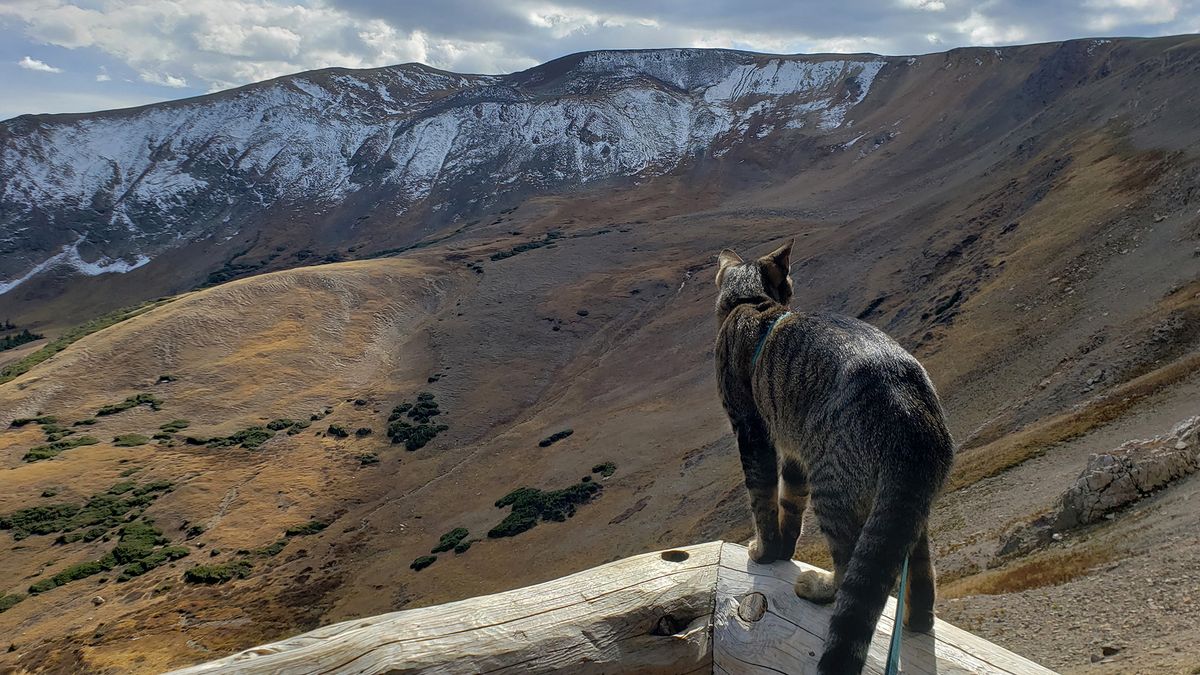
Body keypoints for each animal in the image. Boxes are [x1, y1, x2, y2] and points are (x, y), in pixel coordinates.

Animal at [710, 239, 955, 667]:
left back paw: (819, 587)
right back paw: (916, 620)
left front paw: (765, 551)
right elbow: (790, 503)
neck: (751, 300)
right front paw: (785, 549)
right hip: (905, 507)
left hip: (833, 486)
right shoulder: (793, 449)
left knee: (848, 570)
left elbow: (761, 499)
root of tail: (912, 418)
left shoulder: (752, 432)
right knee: (919, 569)